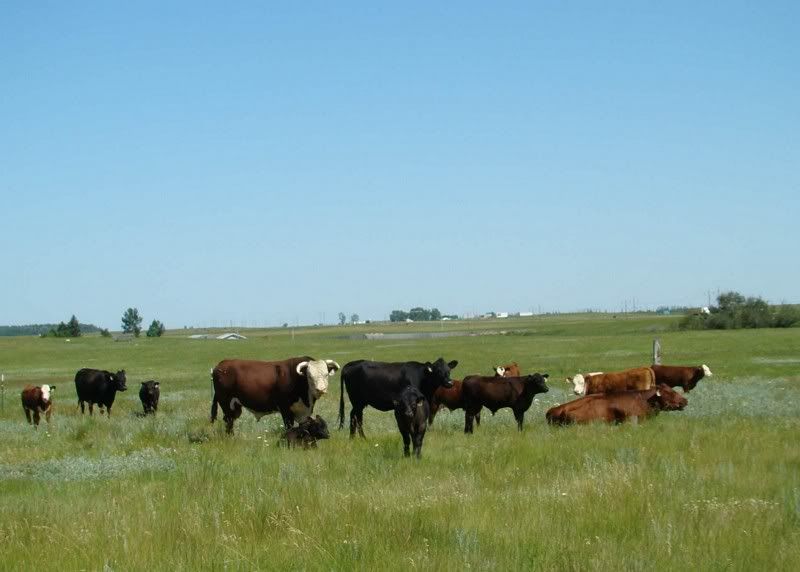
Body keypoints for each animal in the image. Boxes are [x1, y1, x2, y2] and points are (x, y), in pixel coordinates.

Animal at [211, 357, 340, 435]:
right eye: (309, 376)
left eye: (326, 374)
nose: (321, 389)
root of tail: (221, 365)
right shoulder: (285, 409)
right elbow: (289, 427)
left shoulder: (303, 413)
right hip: (225, 402)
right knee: (229, 421)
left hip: (235, 406)